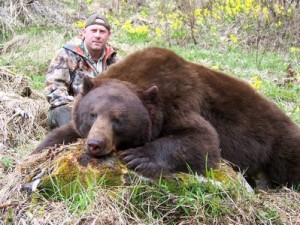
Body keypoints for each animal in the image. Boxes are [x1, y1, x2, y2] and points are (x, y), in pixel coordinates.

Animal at [34, 46, 298, 187]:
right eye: (92, 114)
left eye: (118, 120)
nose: (95, 144)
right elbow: (61, 134)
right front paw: (37, 155)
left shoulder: (180, 100)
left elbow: (204, 139)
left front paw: (138, 156)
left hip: (279, 143)